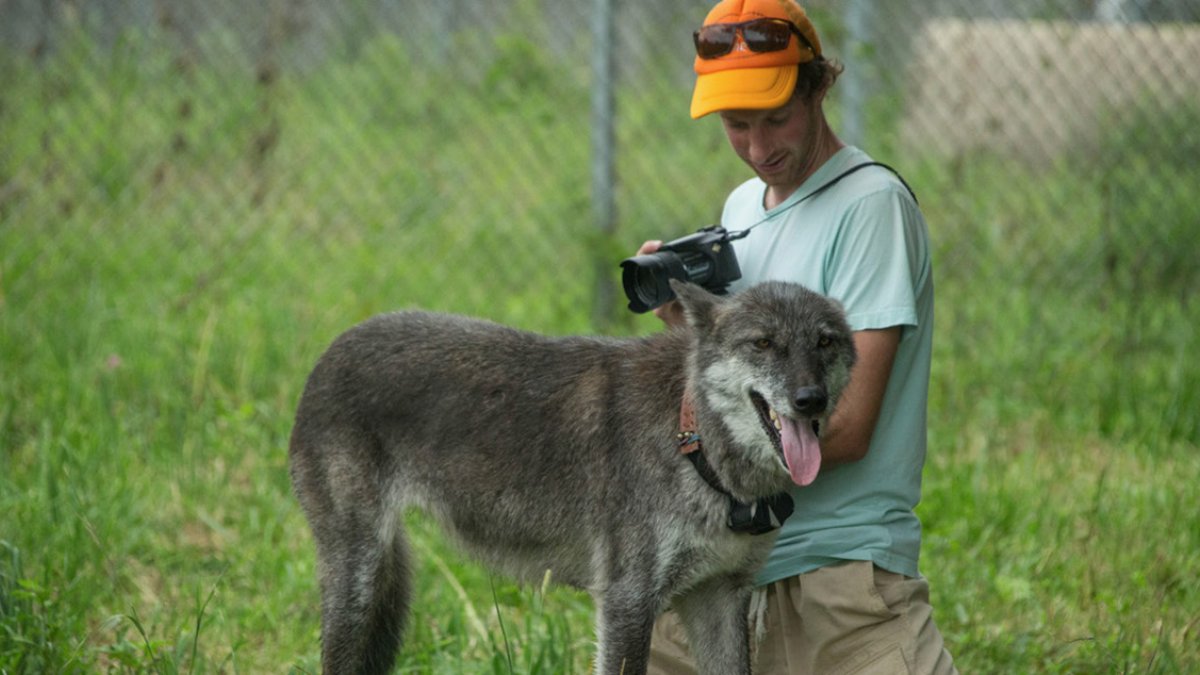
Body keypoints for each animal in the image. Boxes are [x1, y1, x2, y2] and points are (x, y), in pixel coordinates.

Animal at [289, 278, 854, 672]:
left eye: (825, 343)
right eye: (763, 344)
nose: (809, 400)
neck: (691, 437)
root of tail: (328, 353)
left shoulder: (718, 598)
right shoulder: (626, 604)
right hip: (357, 585)